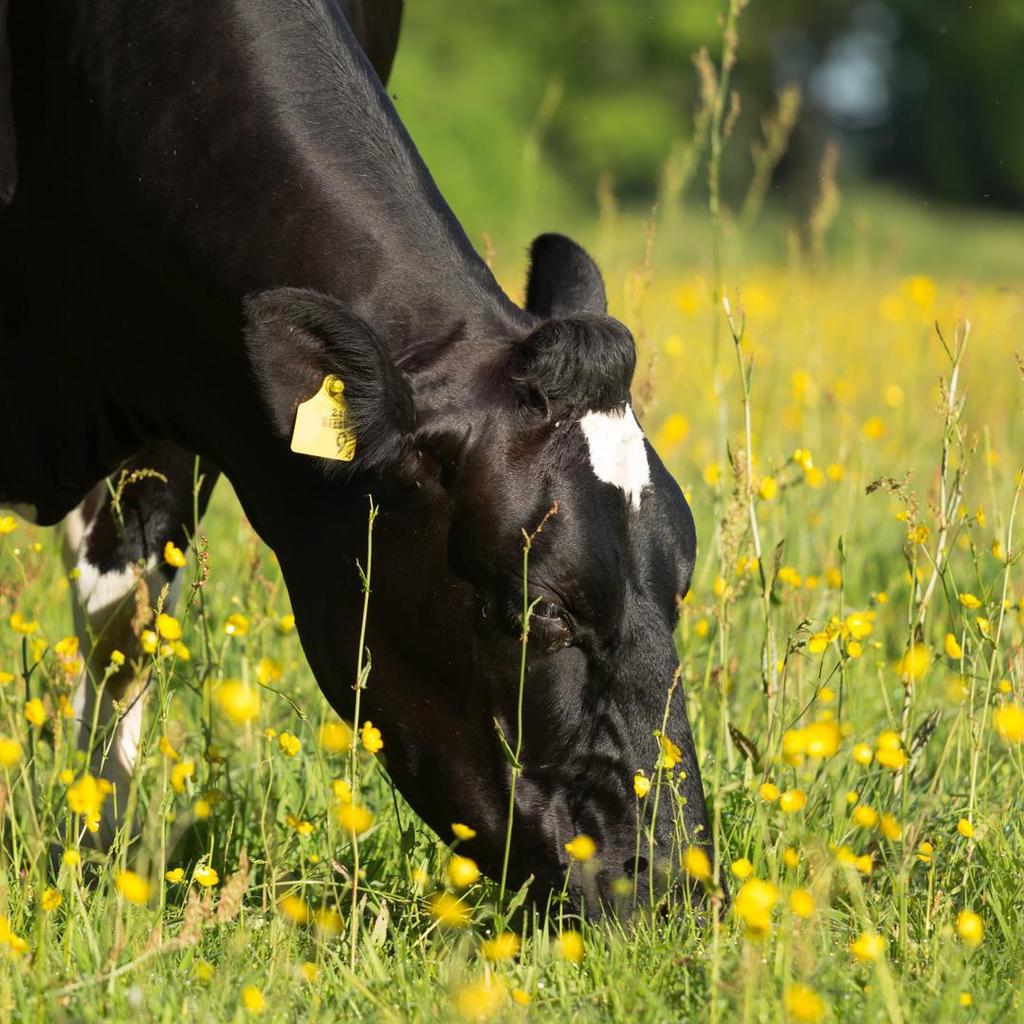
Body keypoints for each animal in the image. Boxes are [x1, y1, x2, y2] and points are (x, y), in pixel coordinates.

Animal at [0, 0, 712, 913]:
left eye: (682, 583)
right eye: (544, 609)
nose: (673, 885)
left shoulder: (181, 387)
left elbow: (126, 625)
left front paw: (99, 868)